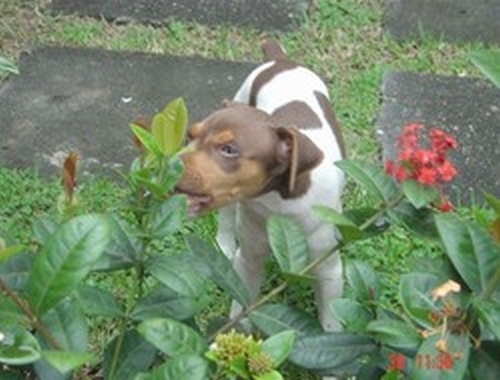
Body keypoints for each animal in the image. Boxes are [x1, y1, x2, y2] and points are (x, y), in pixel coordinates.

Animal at [178, 40, 346, 332]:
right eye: (190, 136)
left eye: (229, 149)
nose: (161, 166)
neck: (277, 205)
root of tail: (280, 59)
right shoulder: (248, 260)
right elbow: (240, 314)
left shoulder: (330, 270)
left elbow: (331, 323)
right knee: (226, 217)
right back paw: (223, 246)